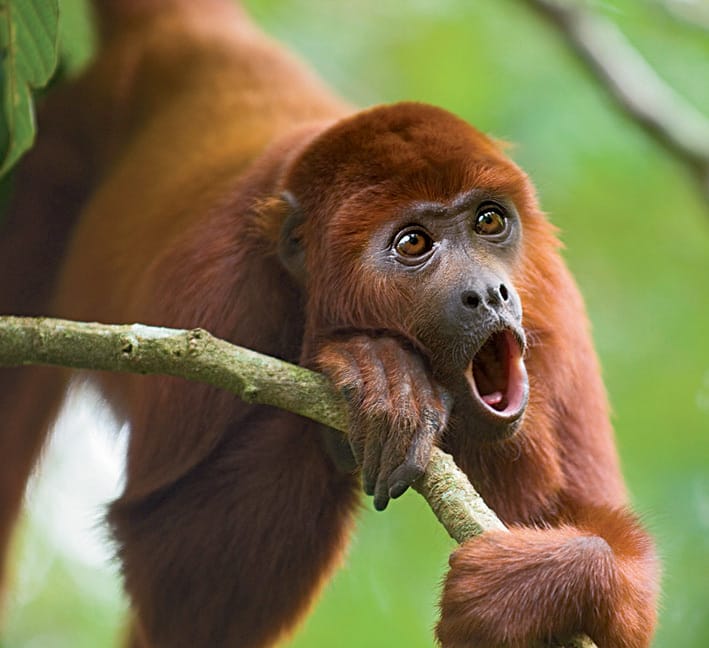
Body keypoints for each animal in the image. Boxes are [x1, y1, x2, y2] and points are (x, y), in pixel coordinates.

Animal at [0, 1, 659, 646]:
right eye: (413, 243)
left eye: (489, 221)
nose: (490, 293)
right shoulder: (216, 292)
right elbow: (174, 578)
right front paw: (379, 376)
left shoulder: (555, 311)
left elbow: (612, 550)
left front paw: (529, 586)